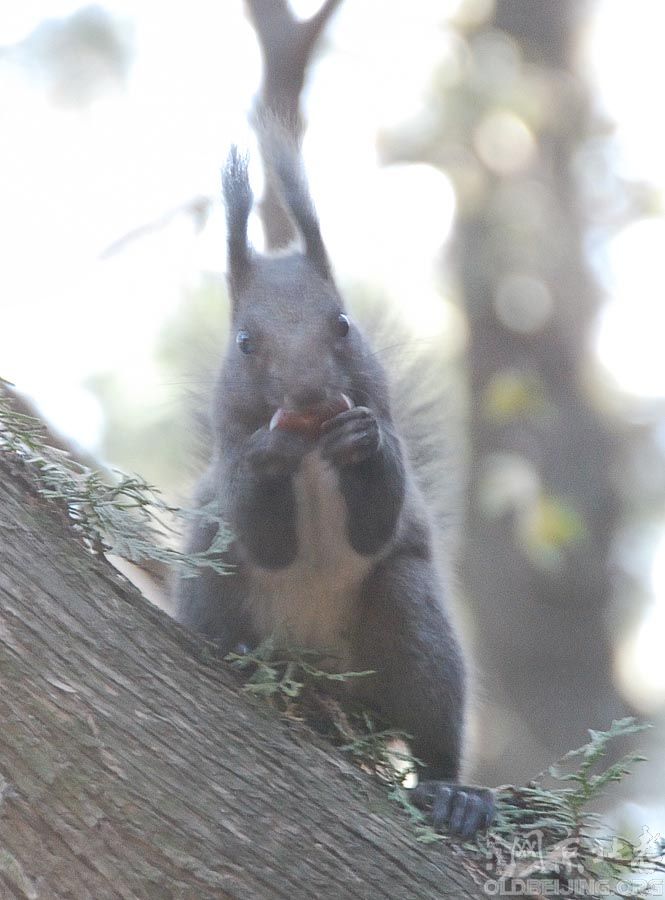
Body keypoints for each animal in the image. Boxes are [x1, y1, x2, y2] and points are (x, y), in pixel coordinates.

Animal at [174, 139, 496, 836]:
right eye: (244, 342)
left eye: (343, 323)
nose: (310, 395)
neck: (314, 456)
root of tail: (320, 679)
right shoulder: (230, 469)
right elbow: (264, 534)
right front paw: (271, 456)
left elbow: (377, 519)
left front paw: (362, 442)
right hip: (214, 582)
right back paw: (241, 655)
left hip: (411, 625)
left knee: (431, 729)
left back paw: (454, 795)